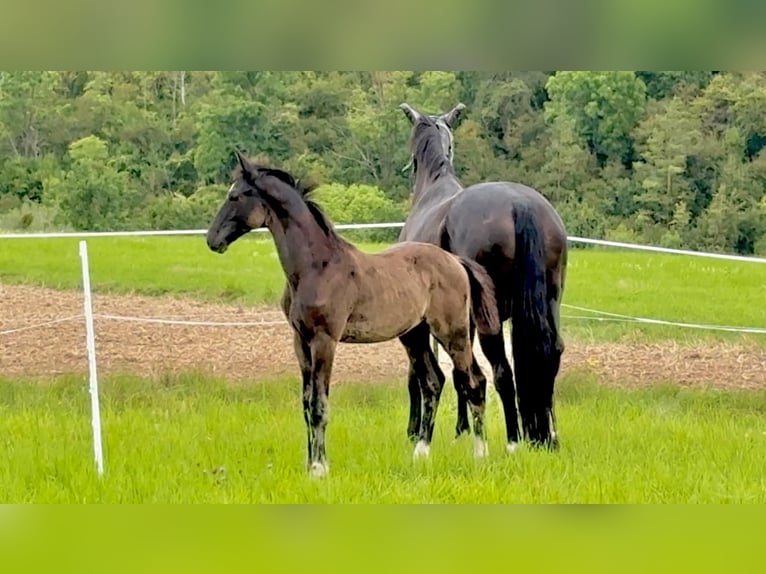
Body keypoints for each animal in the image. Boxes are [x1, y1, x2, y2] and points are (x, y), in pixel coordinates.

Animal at [206, 150, 501, 478]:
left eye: (235, 196)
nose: (212, 240)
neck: (316, 267)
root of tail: (456, 261)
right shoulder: (300, 341)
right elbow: (306, 404)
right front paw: (310, 465)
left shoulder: (325, 340)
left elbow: (319, 405)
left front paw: (320, 468)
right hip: (414, 335)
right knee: (434, 382)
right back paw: (421, 454)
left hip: (452, 332)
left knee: (474, 381)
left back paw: (481, 454)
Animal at [397, 102, 568, 452]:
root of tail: (520, 204)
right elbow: (460, 373)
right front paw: (463, 429)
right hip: (549, 302)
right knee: (550, 354)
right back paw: (549, 437)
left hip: (490, 318)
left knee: (502, 370)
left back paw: (514, 439)